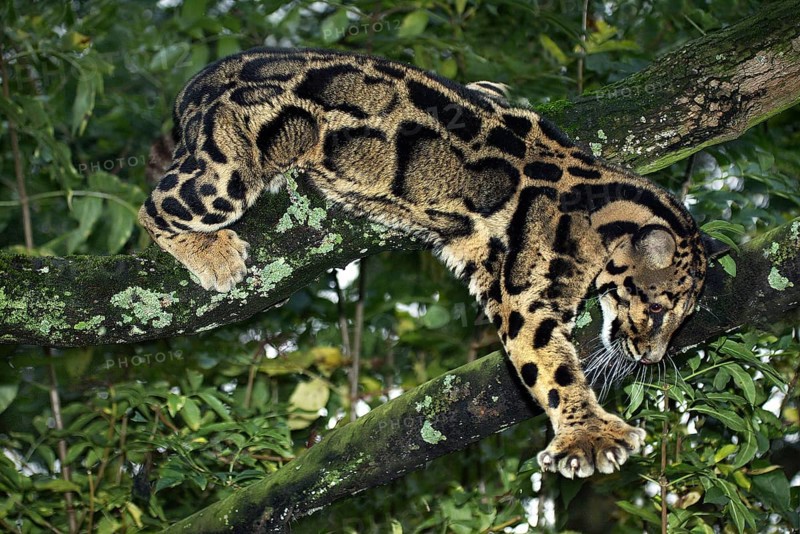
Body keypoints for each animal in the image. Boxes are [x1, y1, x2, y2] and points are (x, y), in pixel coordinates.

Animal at [139, 47, 716, 478]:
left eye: (682, 317)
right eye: (658, 310)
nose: (652, 357)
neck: (602, 200)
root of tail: (205, 77)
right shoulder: (525, 296)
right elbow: (551, 368)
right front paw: (589, 435)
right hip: (227, 174)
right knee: (154, 207)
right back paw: (211, 252)